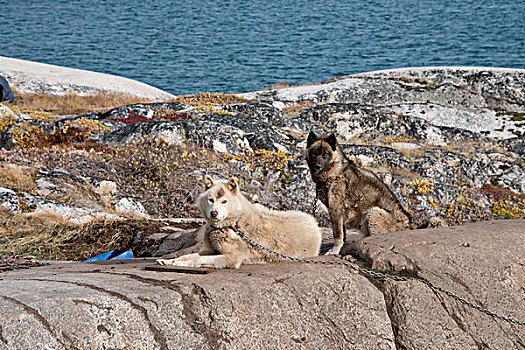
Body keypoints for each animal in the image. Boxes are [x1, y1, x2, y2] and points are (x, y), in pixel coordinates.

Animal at [156, 176, 322, 270]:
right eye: (211, 200)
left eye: (224, 201)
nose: (214, 213)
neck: (232, 223)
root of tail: (314, 223)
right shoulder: (208, 250)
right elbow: (186, 255)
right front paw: (168, 261)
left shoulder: (232, 258)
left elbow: (198, 259)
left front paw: (179, 264)